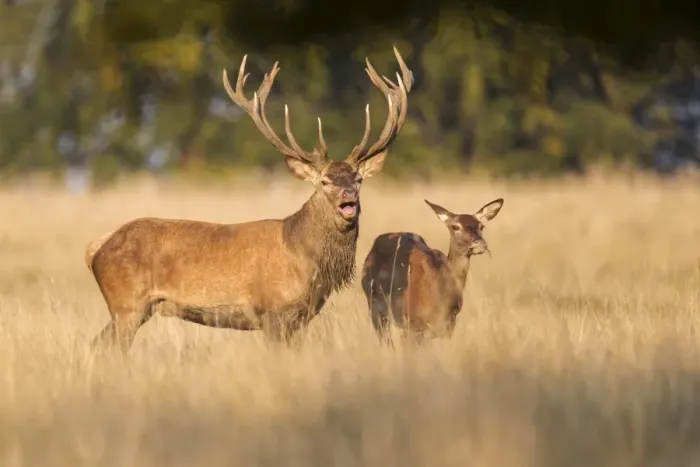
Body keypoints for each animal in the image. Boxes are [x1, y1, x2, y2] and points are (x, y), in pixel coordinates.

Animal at [85, 47, 414, 354]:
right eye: (324, 181)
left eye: (358, 179)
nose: (349, 195)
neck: (304, 257)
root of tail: (96, 248)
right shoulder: (271, 312)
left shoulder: (300, 318)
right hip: (127, 304)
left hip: (132, 309)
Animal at [360, 197, 504, 344]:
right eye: (455, 226)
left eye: (481, 226)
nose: (479, 243)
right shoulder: (413, 322)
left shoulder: (449, 323)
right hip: (374, 306)